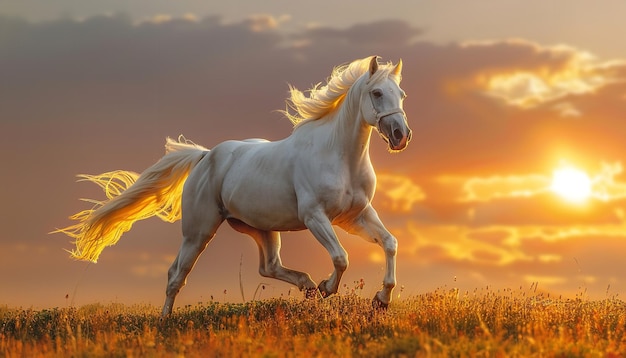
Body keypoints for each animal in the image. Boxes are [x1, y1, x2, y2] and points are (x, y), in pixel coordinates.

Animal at [57, 54, 410, 314]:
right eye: (377, 93)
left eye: (401, 94)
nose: (401, 135)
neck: (338, 155)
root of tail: (204, 156)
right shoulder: (315, 217)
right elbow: (341, 257)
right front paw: (327, 288)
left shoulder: (355, 216)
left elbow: (390, 243)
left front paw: (381, 300)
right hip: (199, 231)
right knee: (176, 275)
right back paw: (164, 323)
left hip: (260, 228)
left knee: (269, 266)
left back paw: (307, 286)